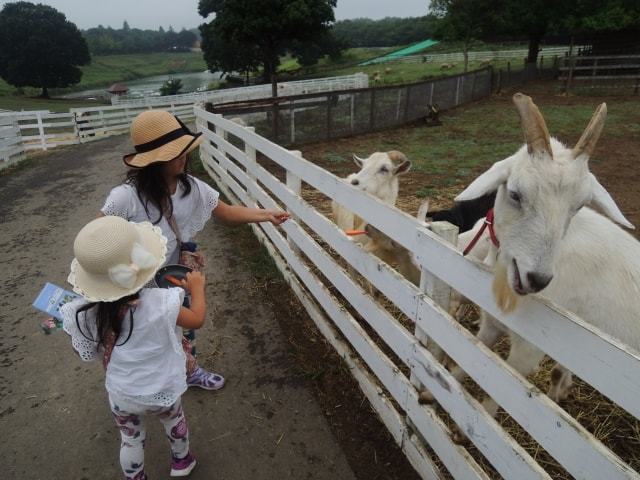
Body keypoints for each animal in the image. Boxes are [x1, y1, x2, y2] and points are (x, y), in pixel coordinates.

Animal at [444, 94, 640, 416]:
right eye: (514, 194)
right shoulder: (491, 323)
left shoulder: (529, 350)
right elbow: (466, 361)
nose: (537, 279)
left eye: (579, 205)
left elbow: (494, 397)